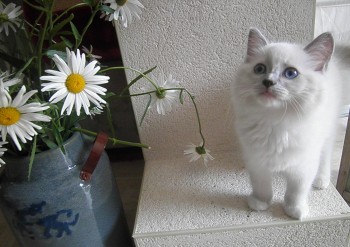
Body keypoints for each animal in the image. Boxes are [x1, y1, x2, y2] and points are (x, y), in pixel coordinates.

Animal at [231, 28, 348, 219]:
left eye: (291, 73)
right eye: (259, 69)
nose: (268, 82)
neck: (276, 122)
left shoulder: (303, 166)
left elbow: (296, 192)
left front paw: (295, 211)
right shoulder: (257, 161)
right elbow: (261, 186)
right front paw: (260, 203)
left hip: (328, 133)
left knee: (325, 156)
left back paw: (321, 180)